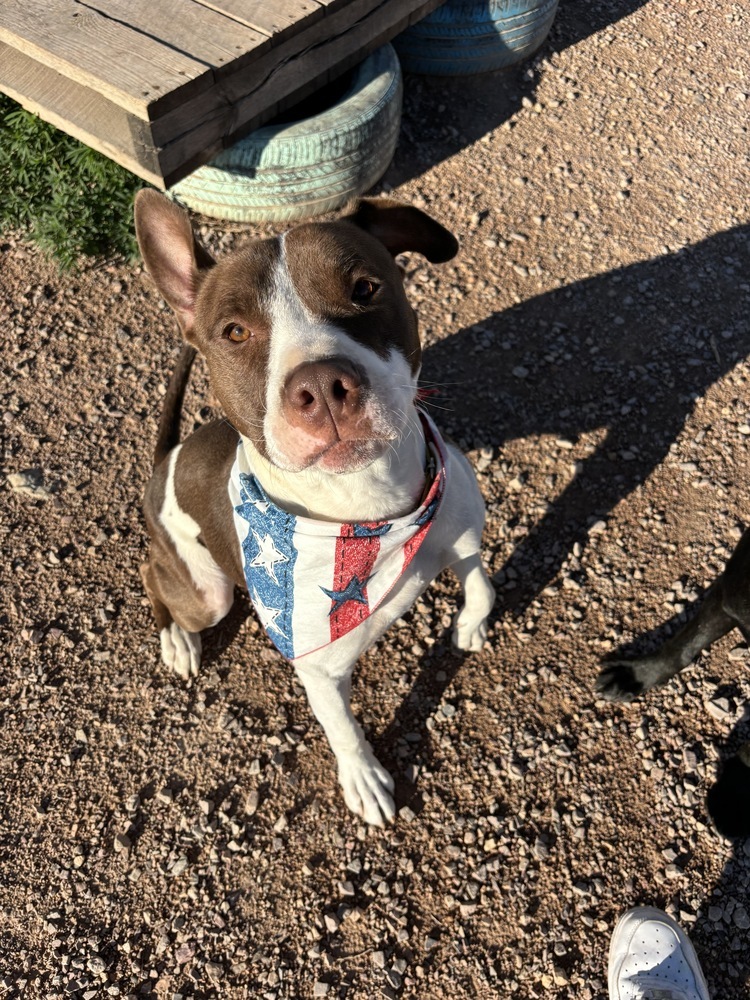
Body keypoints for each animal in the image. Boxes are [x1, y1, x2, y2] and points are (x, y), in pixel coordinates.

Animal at [136, 189, 496, 828]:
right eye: (234, 331)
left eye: (365, 288)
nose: (322, 385)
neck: (370, 508)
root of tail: (164, 464)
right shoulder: (320, 669)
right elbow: (343, 729)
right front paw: (364, 778)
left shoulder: (460, 529)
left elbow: (479, 579)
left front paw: (472, 623)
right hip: (207, 593)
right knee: (151, 575)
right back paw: (176, 641)